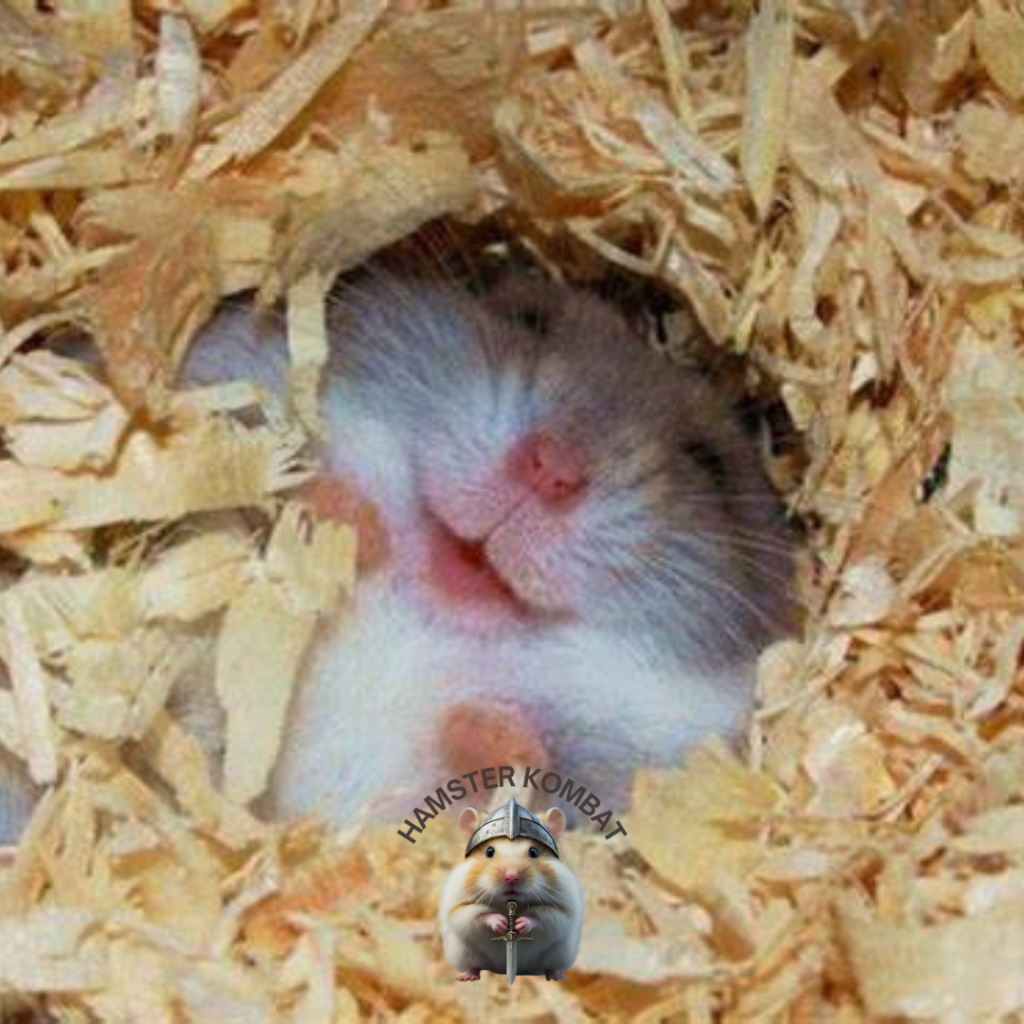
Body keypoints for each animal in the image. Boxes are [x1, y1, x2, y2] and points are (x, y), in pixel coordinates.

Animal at [439, 804, 583, 982]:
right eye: (489, 851)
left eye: (534, 852)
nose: (512, 877)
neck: (509, 902)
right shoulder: (459, 909)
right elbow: (478, 915)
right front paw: (501, 922)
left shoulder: (561, 912)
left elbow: (542, 918)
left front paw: (520, 924)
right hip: (464, 954)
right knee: (474, 966)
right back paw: (468, 977)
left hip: (559, 956)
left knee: (551, 967)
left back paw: (555, 976)